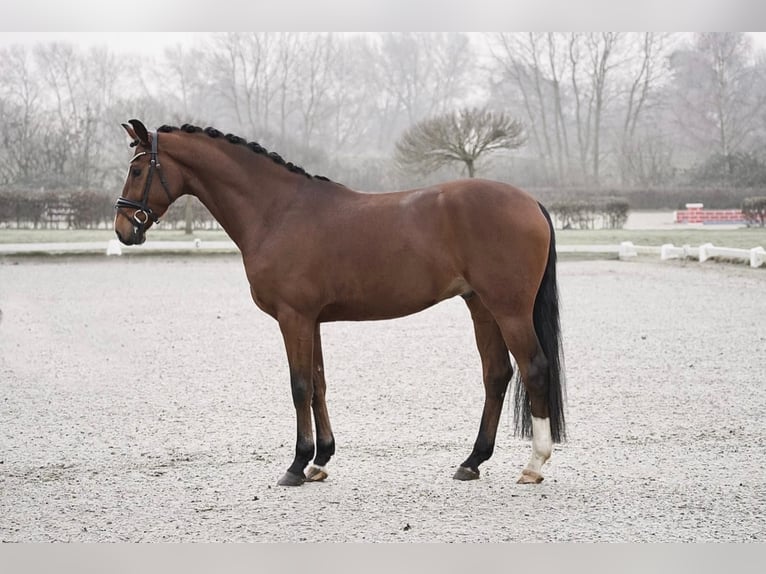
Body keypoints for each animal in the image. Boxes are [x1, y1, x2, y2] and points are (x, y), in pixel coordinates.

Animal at [115, 119, 568, 488]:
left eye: (137, 170)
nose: (123, 229)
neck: (278, 212)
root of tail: (530, 202)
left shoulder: (293, 318)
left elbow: (299, 386)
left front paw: (296, 465)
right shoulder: (310, 320)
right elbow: (318, 385)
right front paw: (320, 460)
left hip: (509, 309)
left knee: (534, 368)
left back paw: (534, 465)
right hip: (481, 306)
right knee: (497, 374)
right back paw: (472, 461)